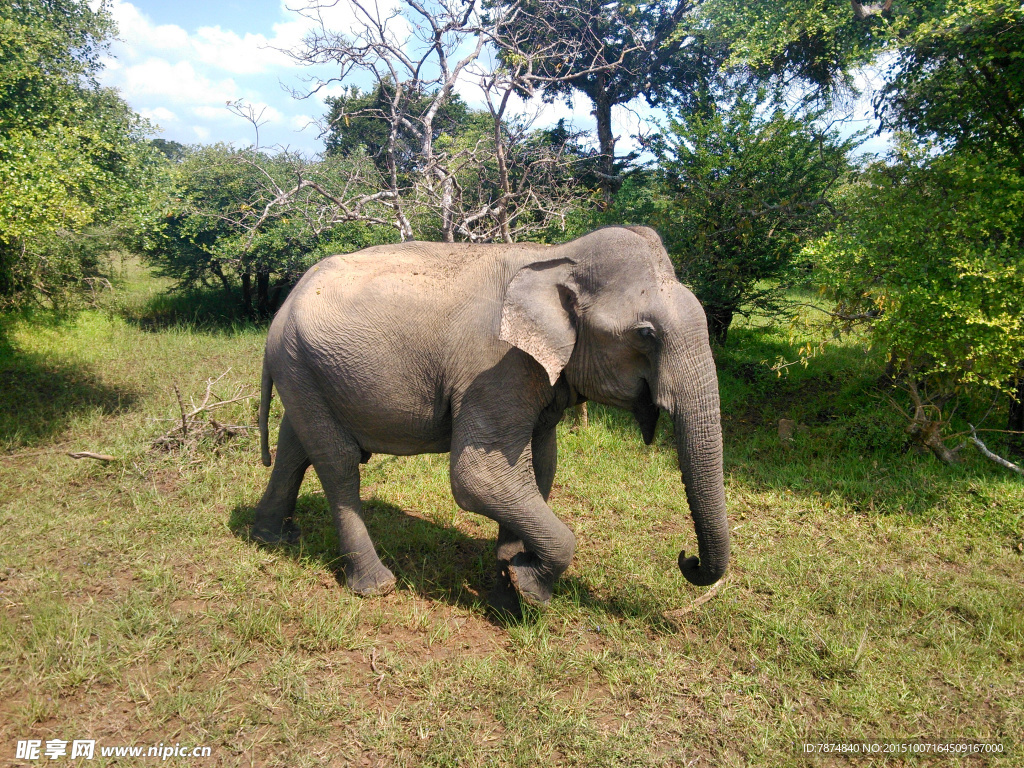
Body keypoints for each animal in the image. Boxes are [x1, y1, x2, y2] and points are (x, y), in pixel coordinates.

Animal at [249, 225, 729, 618]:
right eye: (646, 335)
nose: (686, 558)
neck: (557, 257)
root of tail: (287, 300)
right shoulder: (496, 367)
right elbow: (477, 477)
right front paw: (530, 588)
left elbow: (540, 467)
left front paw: (508, 592)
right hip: (300, 364)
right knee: (339, 464)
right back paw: (375, 586)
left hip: (303, 371)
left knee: (295, 446)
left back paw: (271, 538)